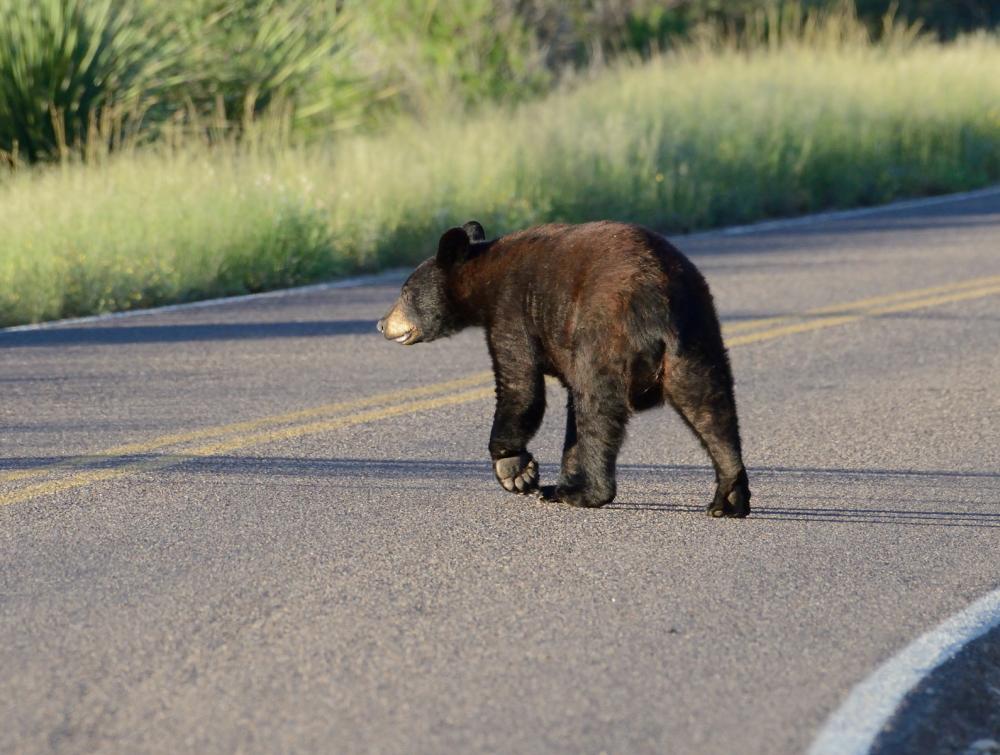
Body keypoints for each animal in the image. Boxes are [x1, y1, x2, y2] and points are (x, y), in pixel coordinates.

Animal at [376, 221, 752, 516]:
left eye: (405, 292)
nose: (382, 323)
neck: (485, 279)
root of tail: (658, 302)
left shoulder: (512, 313)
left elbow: (520, 387)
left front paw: (515, 469)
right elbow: (569, 415)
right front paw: (555, 479)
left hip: (604, 335)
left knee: (598, 410)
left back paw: (589, 494)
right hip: (697, 336)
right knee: (711, 407)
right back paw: (729, 495)